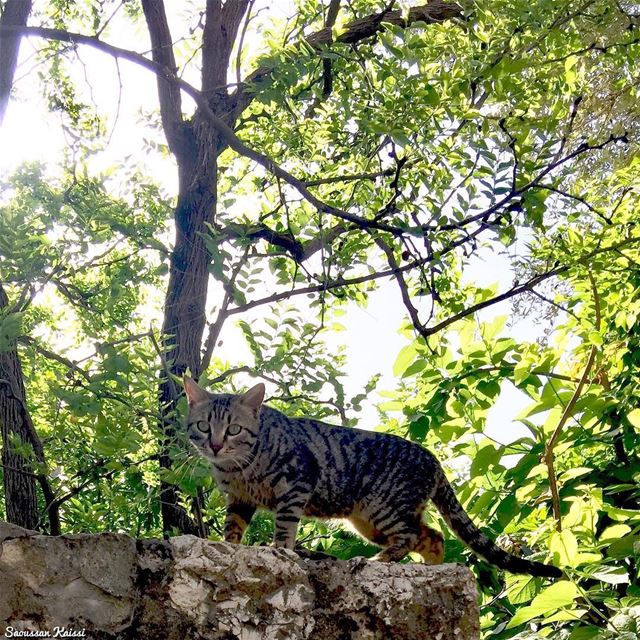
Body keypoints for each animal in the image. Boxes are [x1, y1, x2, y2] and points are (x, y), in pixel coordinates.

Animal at [181, 376, 560, 580]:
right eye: (203, 426)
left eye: (233, 429)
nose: (215, 445)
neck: (239, 467)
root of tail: (433, 460)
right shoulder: (239, 500)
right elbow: (232, 529)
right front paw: (230, 546)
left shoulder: (297, 481)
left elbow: (285, 526)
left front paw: (279, 550)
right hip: (372, 521)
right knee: (433, 536)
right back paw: (430, 569)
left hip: (383, 508)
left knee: (411, 536)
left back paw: (381, 561)